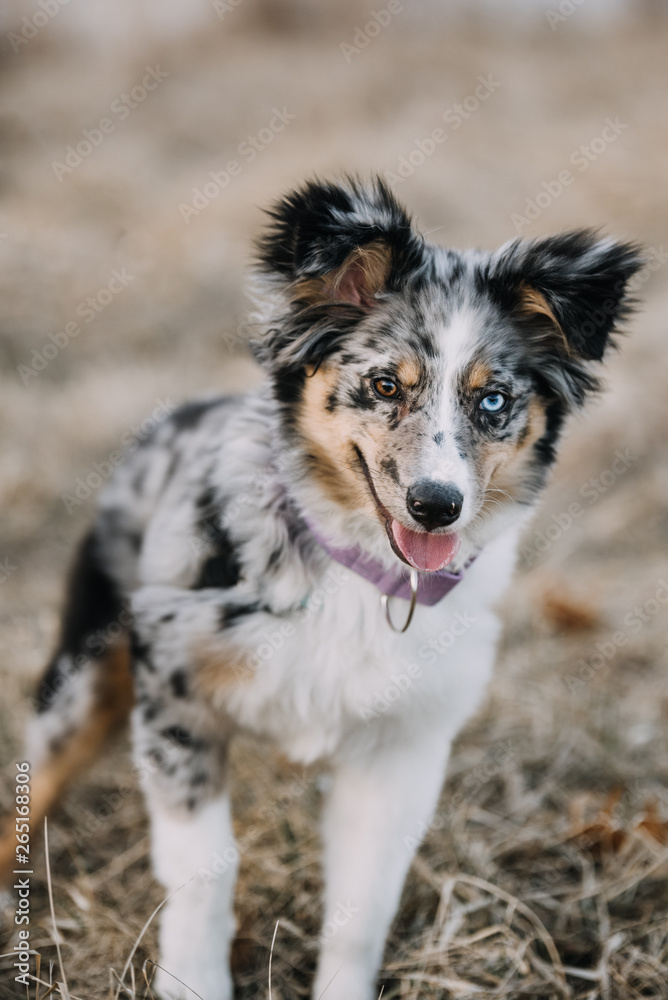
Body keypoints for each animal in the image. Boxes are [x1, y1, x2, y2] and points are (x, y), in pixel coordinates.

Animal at [2, 180, 644, 1000]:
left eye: (494, 401)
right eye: (384, 385)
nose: (436, 506)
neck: (356, 565)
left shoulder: (403, 748)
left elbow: (364, 904)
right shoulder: (175, 699)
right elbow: (205, 874)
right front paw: (196, 980)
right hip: (82, 682)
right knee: (30, 790)